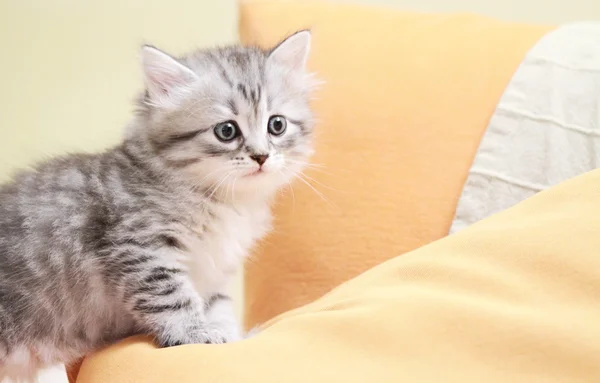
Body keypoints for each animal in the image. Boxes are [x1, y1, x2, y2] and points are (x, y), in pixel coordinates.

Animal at [0, 30, 318, 380]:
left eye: (277, 125)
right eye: (226, 130)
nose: (261, 156)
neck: (222, 201)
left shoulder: (213, 271)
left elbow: (219, 306)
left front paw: (231, 336)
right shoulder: (137, 247)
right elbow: (172, 296)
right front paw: (196, 334)